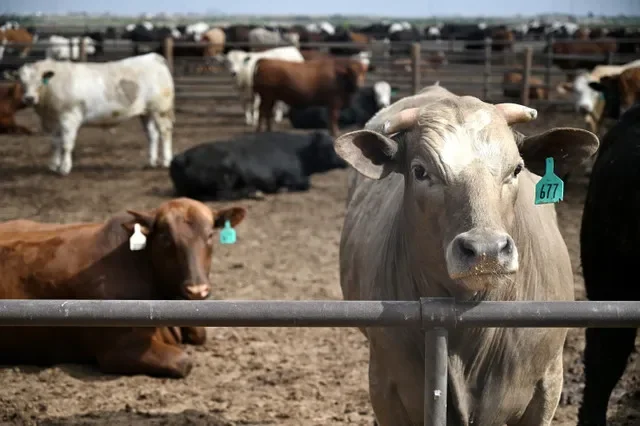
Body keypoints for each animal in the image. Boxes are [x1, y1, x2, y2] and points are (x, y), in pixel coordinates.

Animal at [0, 198, 247, 378]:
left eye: (210, 235)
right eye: (166, 238)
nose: (197, 290)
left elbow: (199, 333)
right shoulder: (118, 350)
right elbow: (183, 362)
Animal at [6, 53, 174, 175]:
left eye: (39, 80)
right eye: (21, 81)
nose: (29, 98)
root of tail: (153, 57)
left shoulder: (69, 118)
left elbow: (66, 144)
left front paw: (64, 168)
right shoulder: (52, 121)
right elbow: (54, 143)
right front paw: (53, 165)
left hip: (161, 109)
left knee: (165, 132)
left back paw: (166, 161)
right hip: (146, 112)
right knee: (152, 135)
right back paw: (151, 162)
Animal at [169, 130, 347, 201]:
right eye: (329, 146)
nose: (345, 161)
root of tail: (180, 157)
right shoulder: (291, 176)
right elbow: (304, 183)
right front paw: (283, 189)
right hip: (225, 177)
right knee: (223, 195)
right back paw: (255, 193)